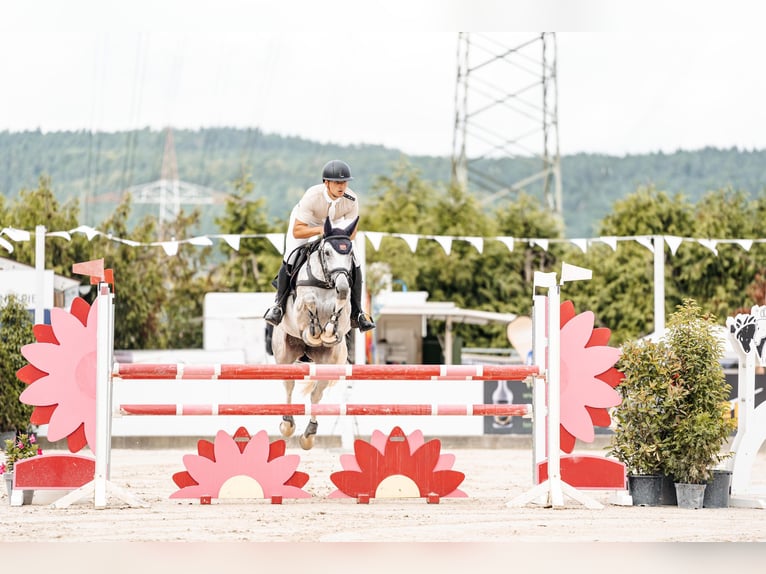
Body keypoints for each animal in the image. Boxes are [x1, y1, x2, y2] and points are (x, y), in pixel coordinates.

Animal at [270, 215, 360, 450]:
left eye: (350, 254)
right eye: (327, 252)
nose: (343, 287)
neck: (326, 282)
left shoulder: (345, 316)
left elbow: (339, 310)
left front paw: (327, 332)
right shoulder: (298, 309)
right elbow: (309, 301)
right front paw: (315, 331)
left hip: (329, 363)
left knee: (316, 394)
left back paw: (308, 435)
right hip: (284, 356)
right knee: (289, 386)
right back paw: (287, 424)